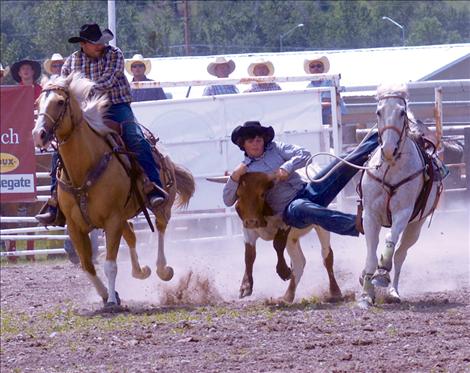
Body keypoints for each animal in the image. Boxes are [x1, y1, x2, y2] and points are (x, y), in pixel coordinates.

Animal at [32, 74, 195, 306]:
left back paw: (163, 269)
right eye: (37, 103)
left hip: (162, 205)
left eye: (60, 102)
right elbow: (87, 266)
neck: (84, 169)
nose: (39, 134)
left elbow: (110, 264)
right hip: (123, 216)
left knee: (161, 226)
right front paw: (106, 294)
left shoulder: (112, 220)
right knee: (132, 234)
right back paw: (141, 271)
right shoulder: (75, 226)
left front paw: (111, 300)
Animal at [356, 84, 444, 308]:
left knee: (400, 254)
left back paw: (393, 290)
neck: (390, 168)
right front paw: (366, 294)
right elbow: (370, 255)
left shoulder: (403, 213)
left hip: (415, 227)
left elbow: (390, 240)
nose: (388, 149)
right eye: (378, 112)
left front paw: (381, 275)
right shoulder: (369, 215)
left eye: (402, 112)